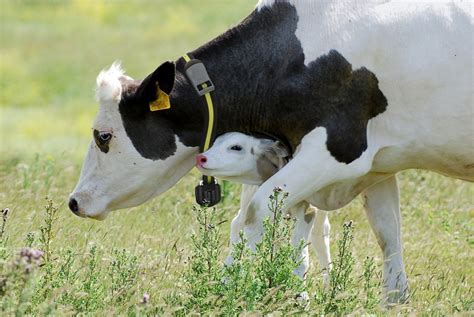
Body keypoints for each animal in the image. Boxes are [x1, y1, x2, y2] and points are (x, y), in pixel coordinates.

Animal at [194, 131, 332, 282]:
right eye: (215, 142)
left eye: (236, 147)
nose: (201, 158)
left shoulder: (306, 209)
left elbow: (300, 256)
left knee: (320, 232)